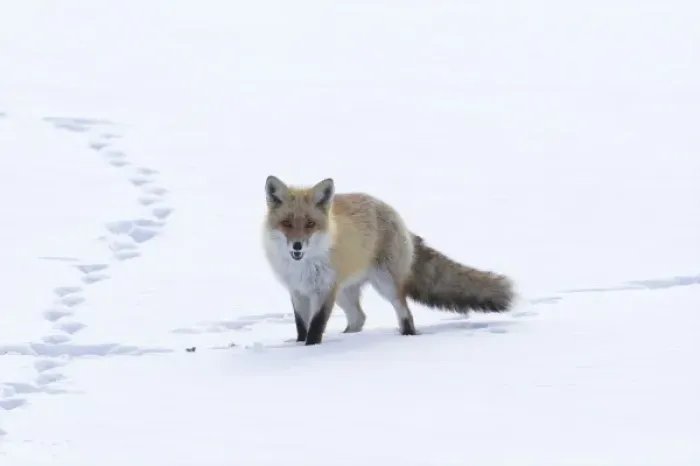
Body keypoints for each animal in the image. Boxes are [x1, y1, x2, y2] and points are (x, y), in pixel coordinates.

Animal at [262, 175, 515, 346]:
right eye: (286, 223)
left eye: (310, 224)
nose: (297, 246)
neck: (302, 267)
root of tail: (389, 209)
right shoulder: (298, 291)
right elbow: (301, 327)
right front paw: (299, 346)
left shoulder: (324, 290)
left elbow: (316, 327)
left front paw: (310, 350)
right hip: (344, 292)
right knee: (359, 318)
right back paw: (347, 338)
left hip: (385, 284)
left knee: (405, 314)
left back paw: (406, 338)